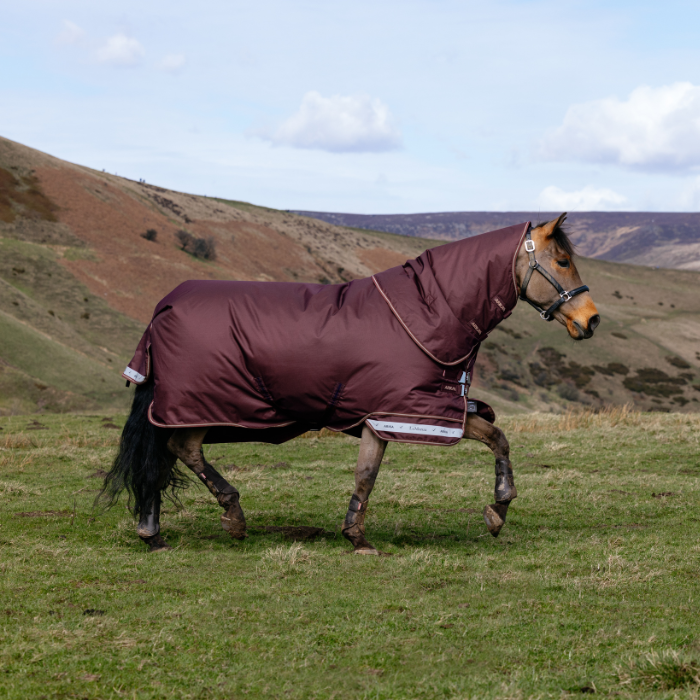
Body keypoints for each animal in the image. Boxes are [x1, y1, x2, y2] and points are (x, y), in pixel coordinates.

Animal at [99, 214, 599, 554]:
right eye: (562, 260)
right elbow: (372, 474)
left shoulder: (410, 413)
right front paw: (360, 537)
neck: (429, 312)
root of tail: (166, 306)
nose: (591, 320)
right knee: (178, 450)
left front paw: (497, 512)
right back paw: (228, 517)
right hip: (197, 404)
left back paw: (156, 531)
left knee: (167, 455)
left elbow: (494, 439)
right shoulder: (400, 412)